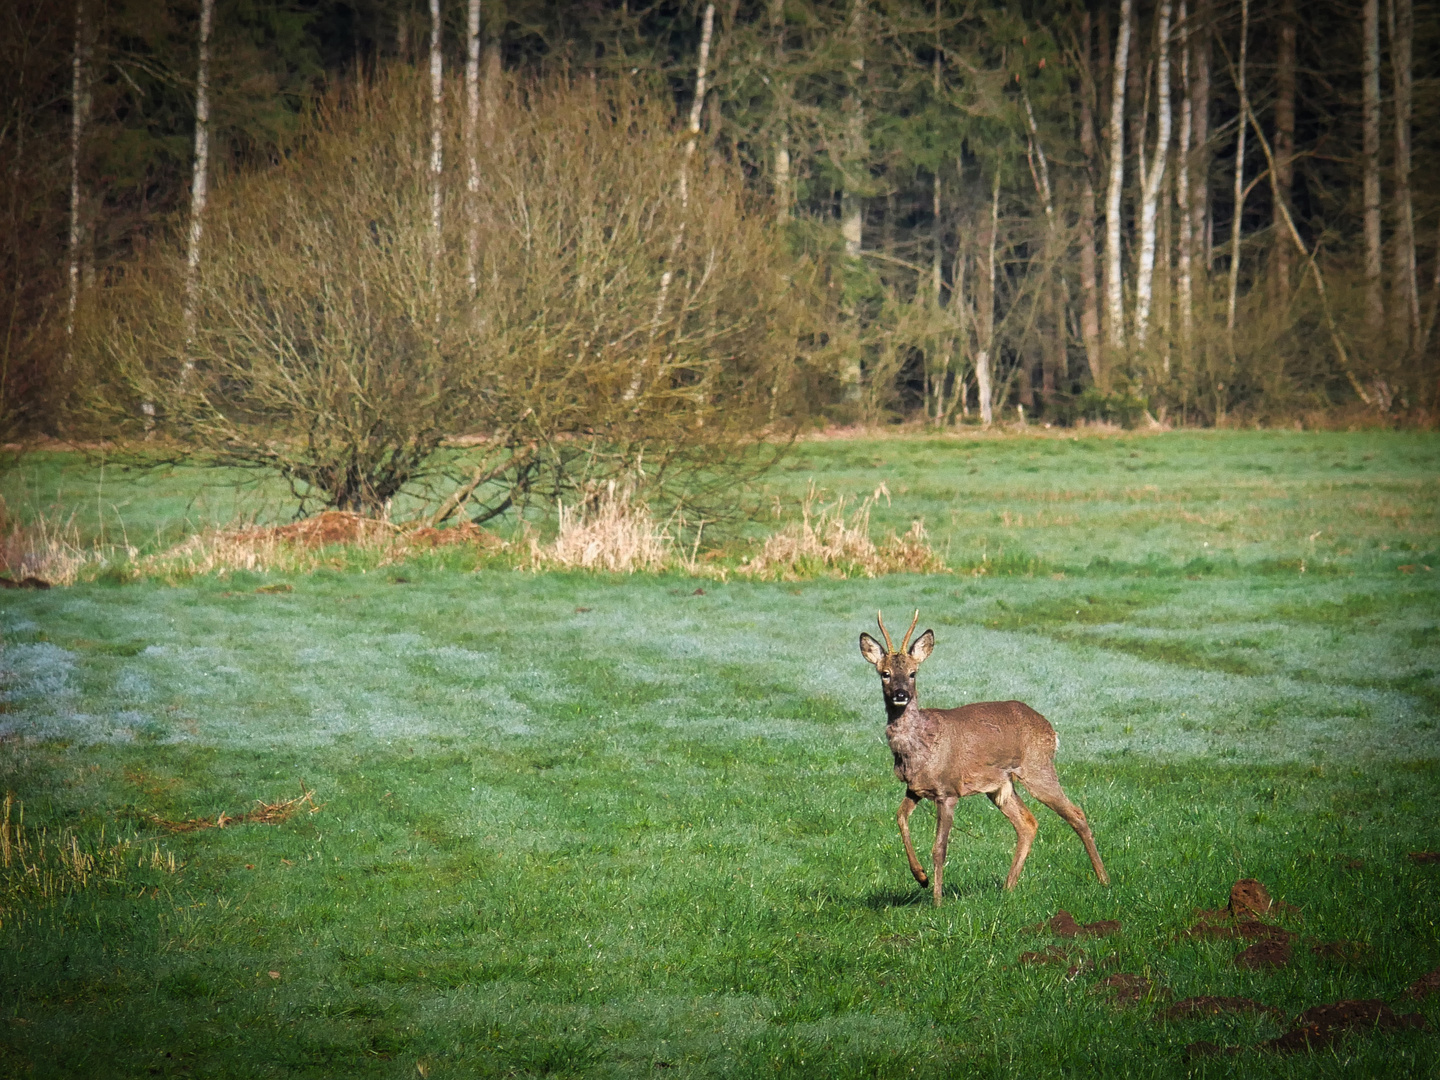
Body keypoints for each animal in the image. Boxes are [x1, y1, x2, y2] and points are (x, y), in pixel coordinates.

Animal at [852, 610, 1111, 904]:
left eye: (912, 673)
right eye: (884, 673)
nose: (901, 694)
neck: (920, 747)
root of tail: (1050, 729)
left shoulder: (948, 791)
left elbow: (939, 848)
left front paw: (937, 901)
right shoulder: (915, 788)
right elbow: (899, 817)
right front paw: (921, 877)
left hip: (1037, 767)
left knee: (1076, 813)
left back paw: (1103, 880)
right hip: (1001, 785)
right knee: (1027, 823)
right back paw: (1008, 888)